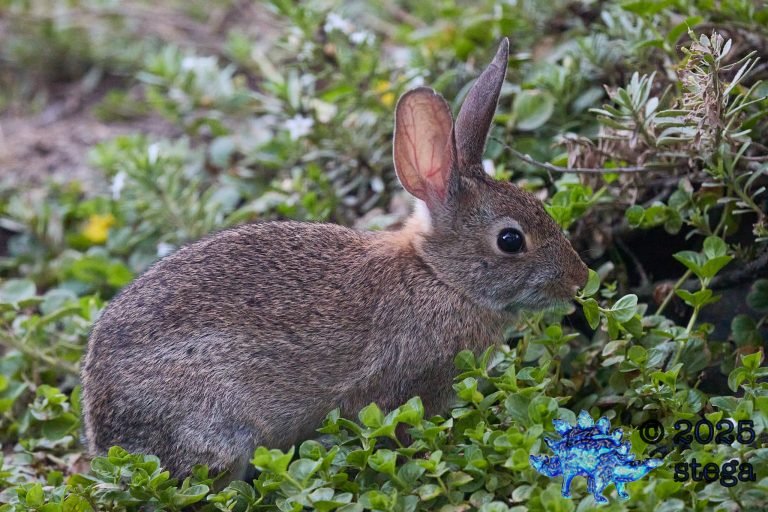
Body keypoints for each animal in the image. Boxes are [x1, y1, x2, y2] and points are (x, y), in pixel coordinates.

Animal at [81, 37, 588, 482]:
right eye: (510, 240)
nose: (579, 278)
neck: (438, 276)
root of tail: (104, 431)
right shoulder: (398, 389)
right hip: (221, 430)